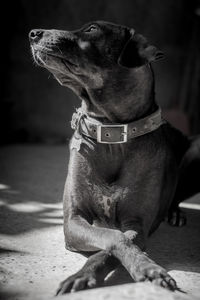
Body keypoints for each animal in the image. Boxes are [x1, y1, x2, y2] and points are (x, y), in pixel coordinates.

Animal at [28, 21, 199, 296]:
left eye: (92, 29)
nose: (33, 33)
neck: (111, 132)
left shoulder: (137, 224)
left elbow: (113, 244)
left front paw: (149, 269)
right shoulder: (73, 219)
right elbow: (110, 239)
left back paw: (175, 213)